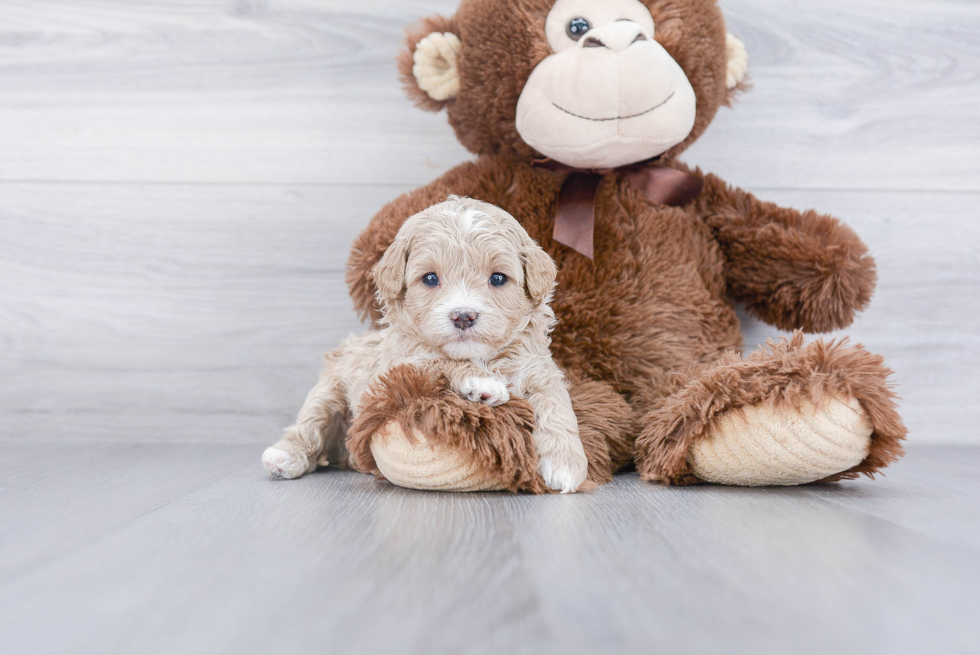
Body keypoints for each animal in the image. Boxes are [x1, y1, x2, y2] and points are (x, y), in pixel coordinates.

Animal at [258, 197, 588, 494]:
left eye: (497, 278)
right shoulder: (399, 367)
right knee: (311, 424)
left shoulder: (539, 369)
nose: (463, 316)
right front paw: (481, 382)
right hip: (329, 391)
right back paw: (284, 456)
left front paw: (566, 463)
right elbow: (441, 361)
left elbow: (558, 405)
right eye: (430, 278)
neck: (482, 357)